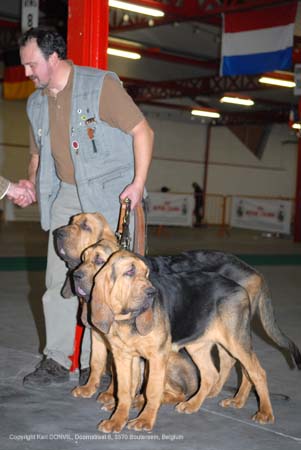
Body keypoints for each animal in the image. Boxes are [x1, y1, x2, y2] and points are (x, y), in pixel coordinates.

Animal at [89, 250, 284, 432]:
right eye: (129, 271)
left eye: (146, 273)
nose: (152, 293)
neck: (127, 319)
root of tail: (239, 287)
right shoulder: (124, 357)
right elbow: (125, 390)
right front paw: (117, 420)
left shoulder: (157, 357)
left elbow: (151, 390)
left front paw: (144, 420)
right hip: (197, 346)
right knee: (211, 374)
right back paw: (194, 404)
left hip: (236, 342)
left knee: (257, 372)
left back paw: (263, 412)